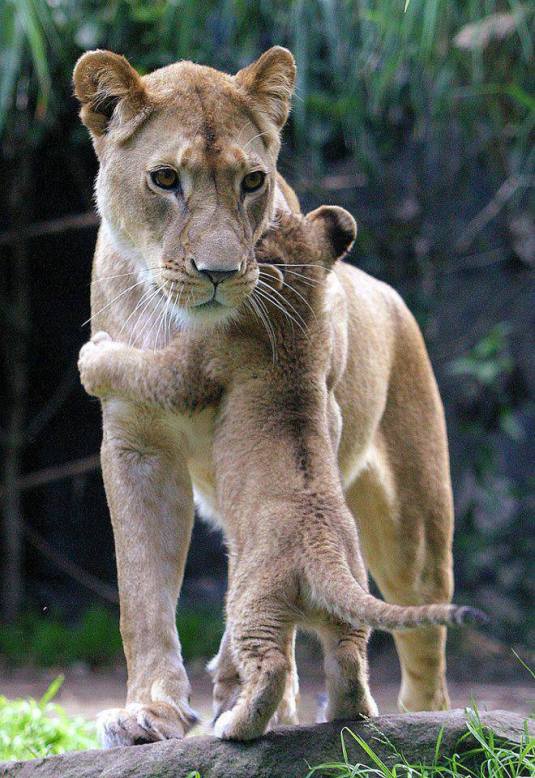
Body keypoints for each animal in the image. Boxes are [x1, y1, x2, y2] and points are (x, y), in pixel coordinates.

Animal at [73, 46, 470, 746]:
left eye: (252, 181)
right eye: (165, 179)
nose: (220, 272)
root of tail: (391, 296)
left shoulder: (231, 378)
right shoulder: (136, 445)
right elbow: (142, 593)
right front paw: (150, 712)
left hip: (414, 531)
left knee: (421, 644)